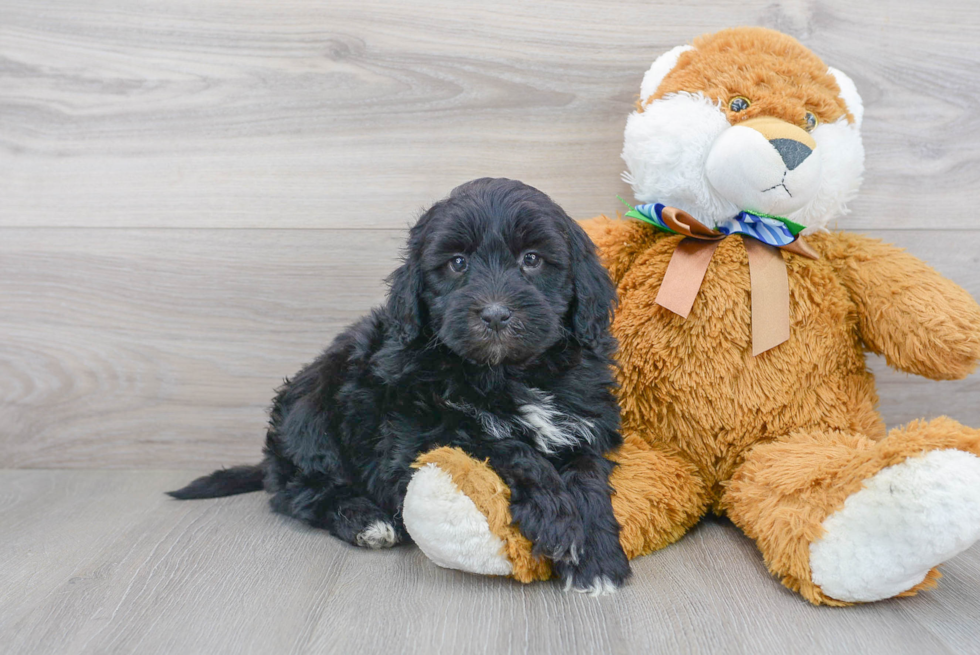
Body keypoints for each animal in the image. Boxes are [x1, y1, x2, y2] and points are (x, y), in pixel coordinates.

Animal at [167, 177, 628, 592]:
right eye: (457, 263)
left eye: (532, 259)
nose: (496, 314)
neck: (507, 373)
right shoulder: (418, 437)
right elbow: (503, 446)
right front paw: (558, 520)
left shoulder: (583, 421)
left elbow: (587, 473)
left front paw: (597, 557)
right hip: (310, 407)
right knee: (298, 492)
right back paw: (365, 520)